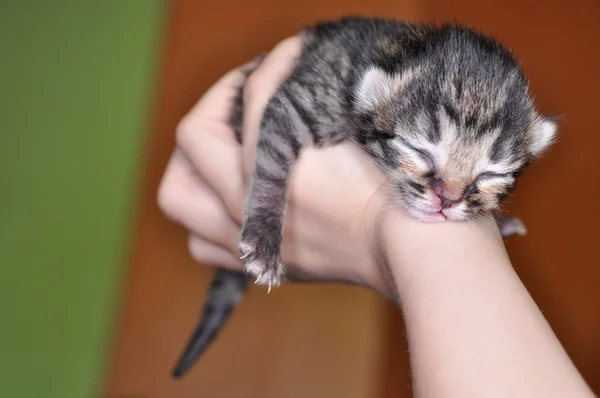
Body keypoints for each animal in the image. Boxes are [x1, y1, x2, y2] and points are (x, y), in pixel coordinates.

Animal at [171, 17, 556, 378]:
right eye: (420, 151)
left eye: (491, 174)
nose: (448, 199)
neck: (393, 46)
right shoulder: (302, 101)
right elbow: (272, 168)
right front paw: (264, 241)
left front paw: (499, 219)